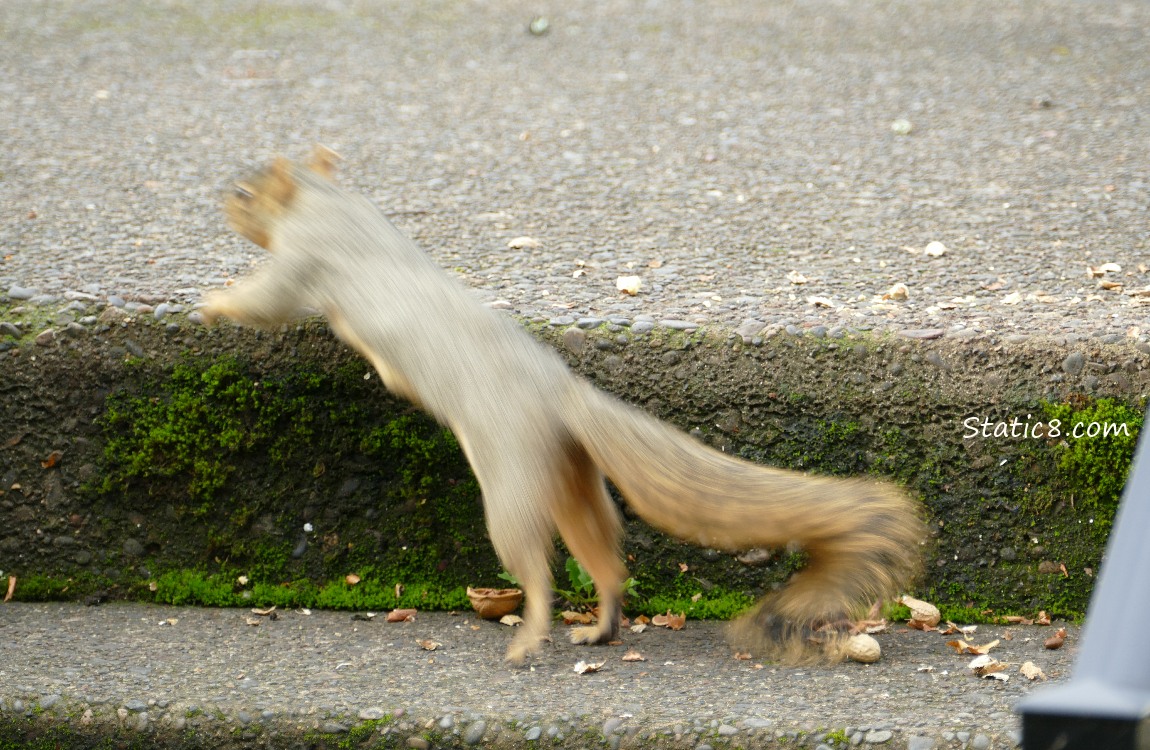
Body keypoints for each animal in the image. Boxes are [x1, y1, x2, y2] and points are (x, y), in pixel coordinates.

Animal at [201, 147, 924, 665]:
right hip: (575, 483)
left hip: (512, 483)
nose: (220, 202)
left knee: (536, 571)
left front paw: (212, 303)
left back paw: (528, 641)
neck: (334, 206)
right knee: (606, 561)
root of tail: (559, 392)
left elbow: (265, 301)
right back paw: (598, 630)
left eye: (247, 193)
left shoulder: (305, 260)